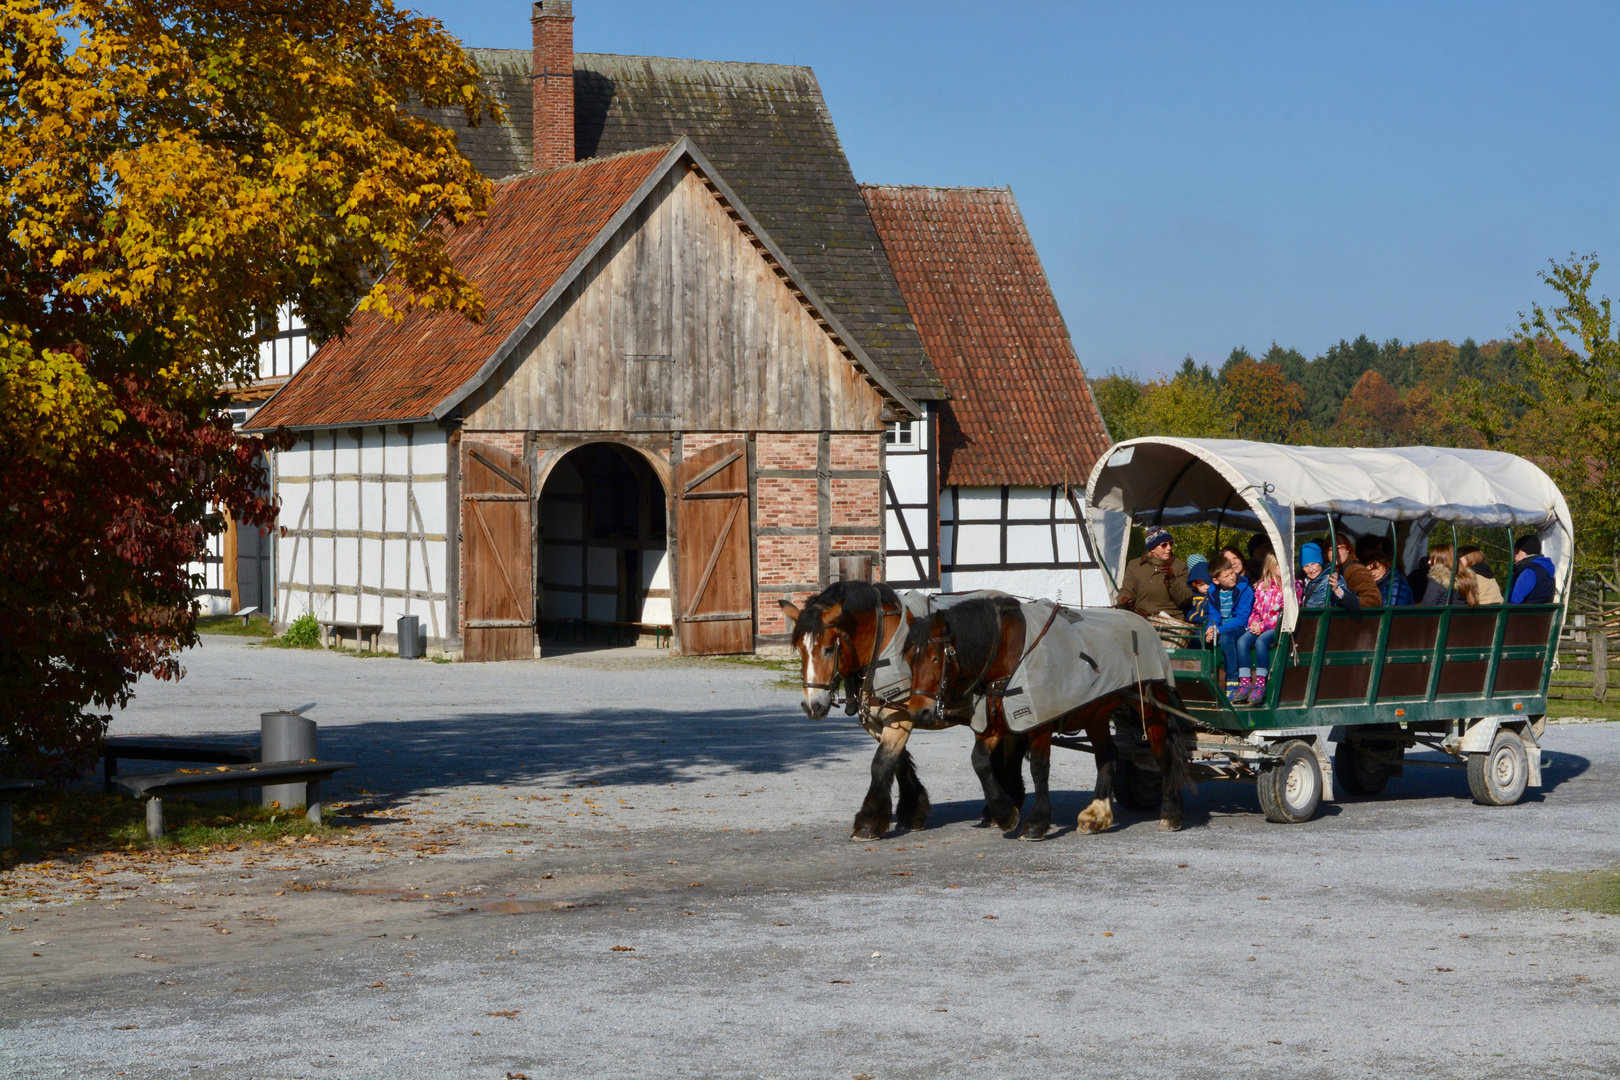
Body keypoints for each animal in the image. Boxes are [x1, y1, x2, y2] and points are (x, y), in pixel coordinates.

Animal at [780, 582, 1023, 841]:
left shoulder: (901, 718)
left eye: (828, 649)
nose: (812, 705)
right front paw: (911, 812)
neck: (882, 643)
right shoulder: (877, 722)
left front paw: (868, 823)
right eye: (801, 650)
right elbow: (899, 761)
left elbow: (881, 764)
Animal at [900, 595, 1192, 841]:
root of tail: (1143, 621)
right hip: (1095, 713)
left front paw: (1036, 822)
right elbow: (980, 761)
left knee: (1162, 755)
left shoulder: (1039, 725)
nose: (918, 711)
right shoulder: (997, 725)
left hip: (1150, 707)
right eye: (909, 659)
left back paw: (1171, 814)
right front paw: (1004, 813)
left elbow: (1039, 769)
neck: (1011, 654)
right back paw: (1096, 814)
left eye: (935, 657)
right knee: (1107, 755)